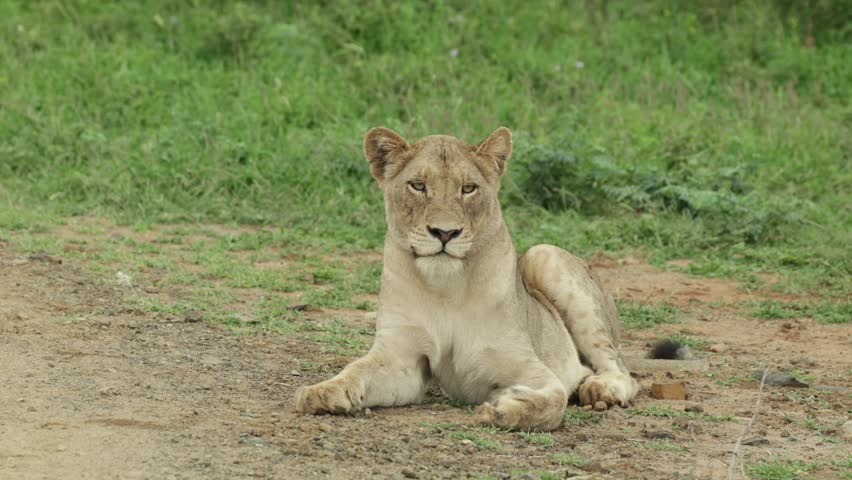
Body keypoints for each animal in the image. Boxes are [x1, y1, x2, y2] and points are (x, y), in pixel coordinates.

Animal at [294, 127, 638, 431]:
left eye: (468, 188)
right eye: (418, 185)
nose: (445, 233)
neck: (446, 287)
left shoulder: (528, 365)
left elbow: (554, 401)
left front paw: (503, 410)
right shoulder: (402, 358)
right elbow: (356, 369)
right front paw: (322, 392)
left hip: (544, 255)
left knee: (620, 369)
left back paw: (601, 389)